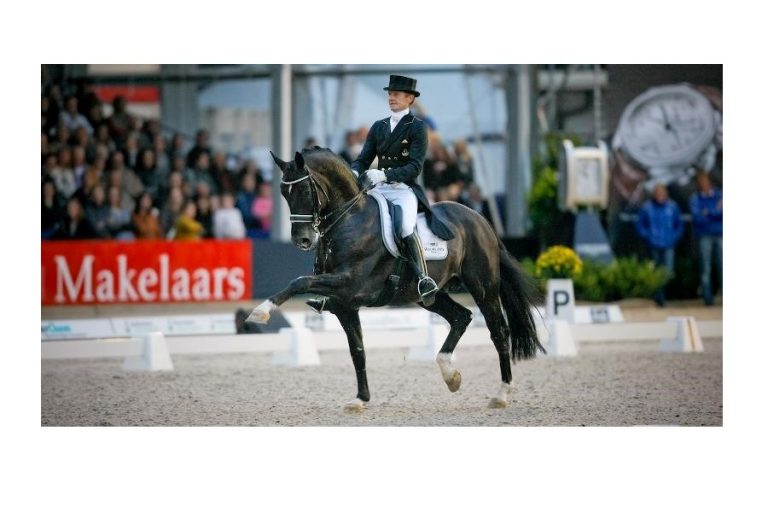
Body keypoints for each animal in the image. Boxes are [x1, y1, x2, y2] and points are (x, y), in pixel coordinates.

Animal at [247, 147, 544, 411]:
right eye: (284, 193)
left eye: (305, 191)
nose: (303, 241)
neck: (350, 220)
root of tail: (481, 220)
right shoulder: (344, 304)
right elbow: (357, 350)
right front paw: (360, 399)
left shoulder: (349, 282)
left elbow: (299, 281)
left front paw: (260, 312)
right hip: (429, 297)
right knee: (461, 317)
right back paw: (451, 375)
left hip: (483, 288)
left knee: (499, 332)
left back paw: (501, 394)